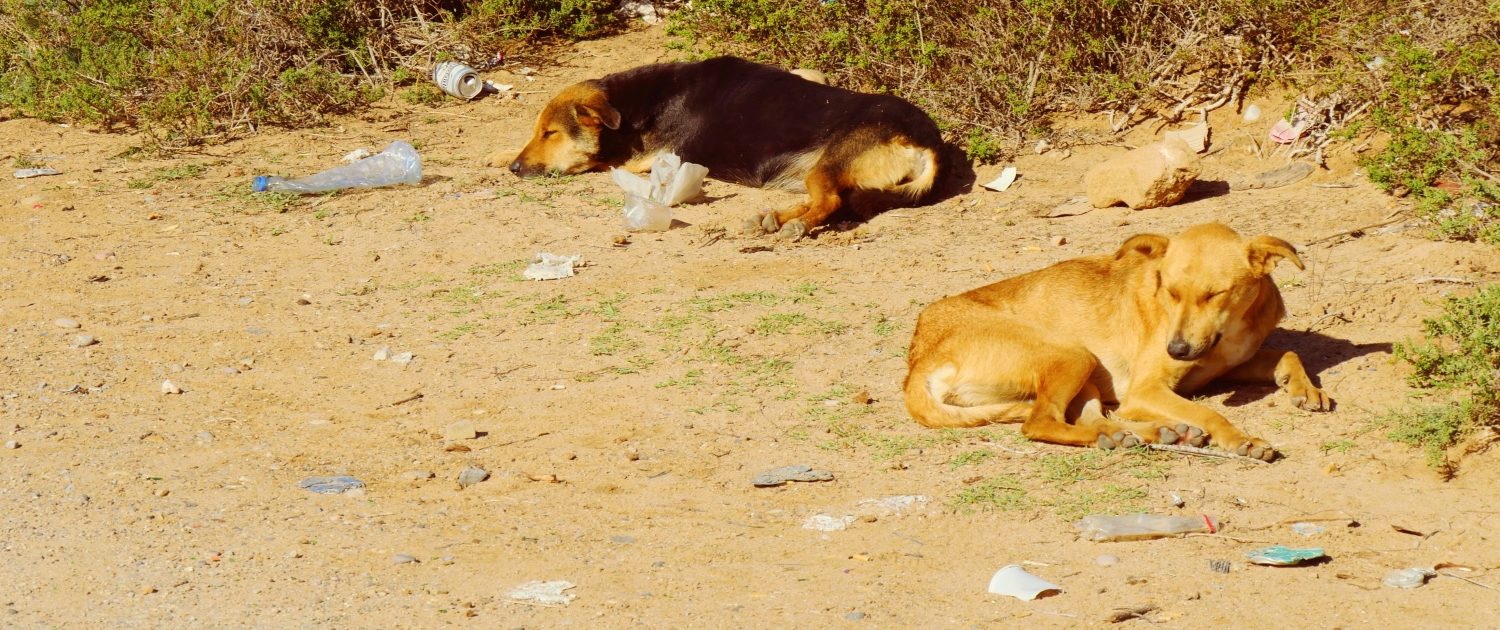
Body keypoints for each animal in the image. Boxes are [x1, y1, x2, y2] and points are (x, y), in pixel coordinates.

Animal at [906, 223, 1332, 459]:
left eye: (1215, 294)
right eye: (1169, 291)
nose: (1176, 350)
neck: (1229, 333)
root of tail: (917, 359)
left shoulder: (1230, 364)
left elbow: (1287, 351)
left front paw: (1304, 388)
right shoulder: (1145, 389)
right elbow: (1210, 412)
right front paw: (1240, 439)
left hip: (1087, 373)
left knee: (1095, 418)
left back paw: (1152, 433)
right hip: (1074, 355)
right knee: (1039, 423)